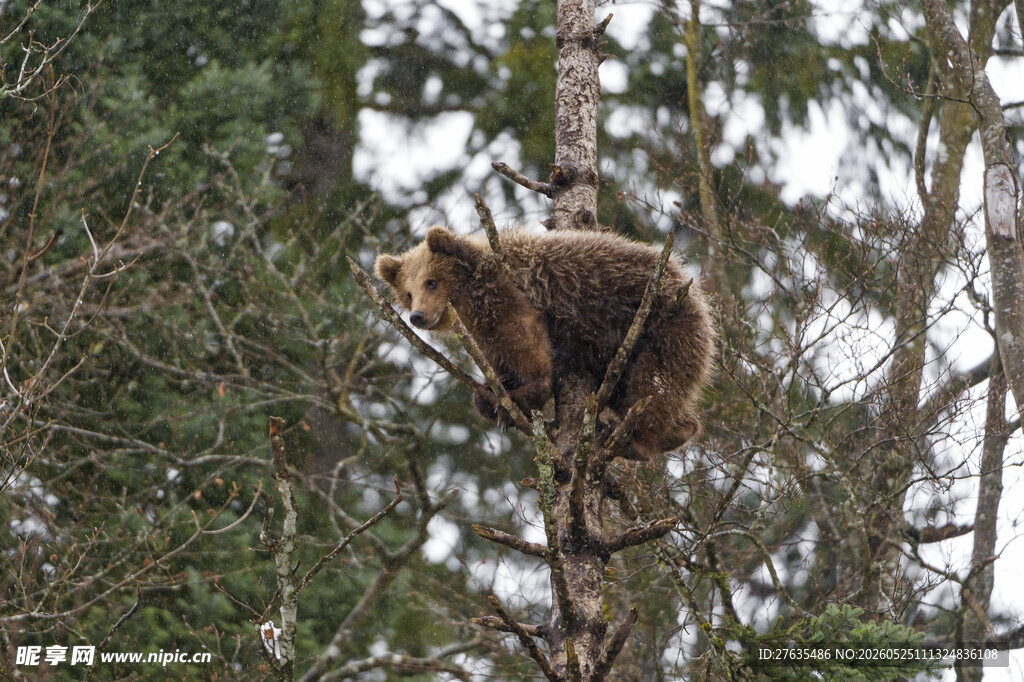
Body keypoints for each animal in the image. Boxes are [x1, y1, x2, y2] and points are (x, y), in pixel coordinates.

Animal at [374, 226, 716, 460]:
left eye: (431, 282)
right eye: (408, 292)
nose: (417, 316)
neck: (469, 297)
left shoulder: (508, 293)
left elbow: (526, 341)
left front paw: (521, 397)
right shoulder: (480, 328)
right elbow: (498, 357)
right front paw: (491, 393)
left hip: (664, 326)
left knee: (655, 386)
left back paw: (631, 439)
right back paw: (676, 430)